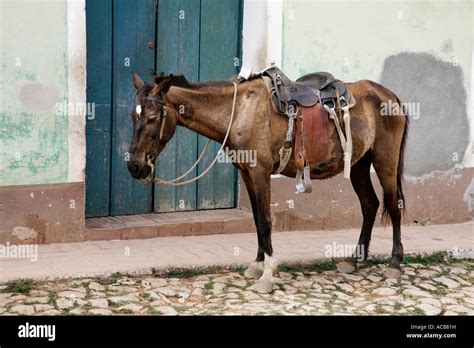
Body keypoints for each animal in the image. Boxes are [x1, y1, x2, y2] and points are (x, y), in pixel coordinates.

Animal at [128, 70, 410, 294]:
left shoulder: (260, 172)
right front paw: (257, 265)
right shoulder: (246, 173)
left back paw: (395, 263)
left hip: (385, 162)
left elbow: (265, 221)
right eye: (133, 115)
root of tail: (390, 96)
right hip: (359, 165)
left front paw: (267, 276)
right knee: (369, 205)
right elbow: (256, 219)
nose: (135, 166)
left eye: (152, 118)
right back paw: (353, 260)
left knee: (393, 206)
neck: (239, 111)